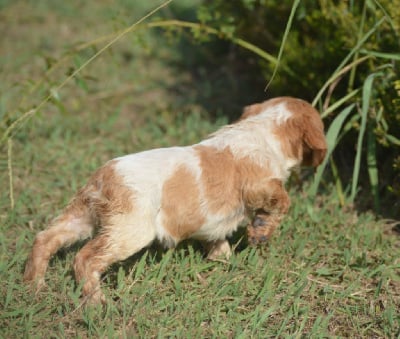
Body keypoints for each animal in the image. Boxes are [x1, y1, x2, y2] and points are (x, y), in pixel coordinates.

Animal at [23, 97, 326, 304]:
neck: (260, 131)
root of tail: (104, 176)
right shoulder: (260, 186)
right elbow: (282, 201)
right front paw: (261, 231)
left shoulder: (213, 225)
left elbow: (218, 243)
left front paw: (224, 262)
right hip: (129, 232)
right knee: (85, 258)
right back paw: (96, 303)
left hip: (83, 217)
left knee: (45, 239)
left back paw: (33, 287)